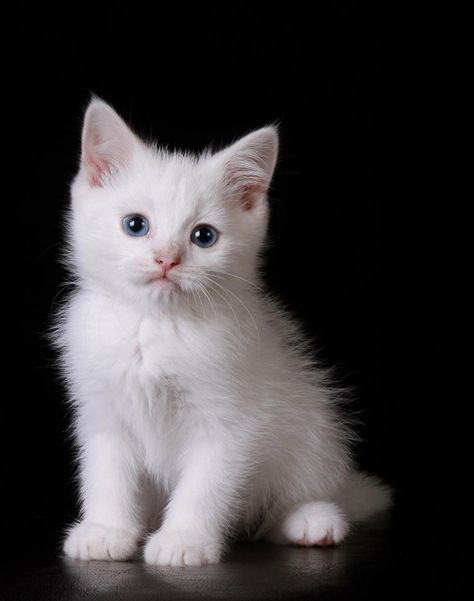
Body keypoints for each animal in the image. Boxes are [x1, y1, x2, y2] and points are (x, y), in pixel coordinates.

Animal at [54, 99, 388, 568]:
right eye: (135, 225)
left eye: (204, 236)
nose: (167, 259)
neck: (156, 328)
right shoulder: (103, 411)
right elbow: (106, 472)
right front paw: (106, 531)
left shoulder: (232, 420)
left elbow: (206, 484)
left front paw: (183, 541)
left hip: (311, 425)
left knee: (286, 500)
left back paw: (311, 518)